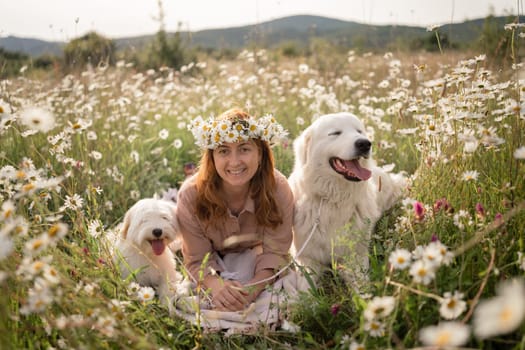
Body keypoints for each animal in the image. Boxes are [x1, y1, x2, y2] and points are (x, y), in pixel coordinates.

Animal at [286, 112, 406, 284]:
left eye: (359, 131)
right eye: (335, 133)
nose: (365, 144)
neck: (334, 199)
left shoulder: (355, 259)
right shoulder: (306, 259)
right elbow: (306, 286)